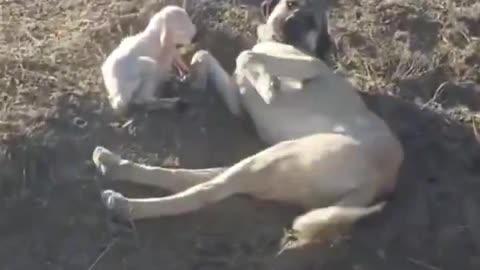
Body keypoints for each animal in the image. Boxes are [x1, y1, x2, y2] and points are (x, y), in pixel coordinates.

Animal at [92, 0, 404, 248]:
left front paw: (266, 83)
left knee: (204, 192)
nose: (291, 19)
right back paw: (115, 165)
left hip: (276, 157)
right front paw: (195, 78)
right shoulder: (239, 105)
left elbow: (246, 55)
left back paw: (124, 206)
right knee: (197, 178)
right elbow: (209, 57)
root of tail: (383, 181)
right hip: (270, 165)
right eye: (291, 3)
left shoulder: (311, 67)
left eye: (311, 20)